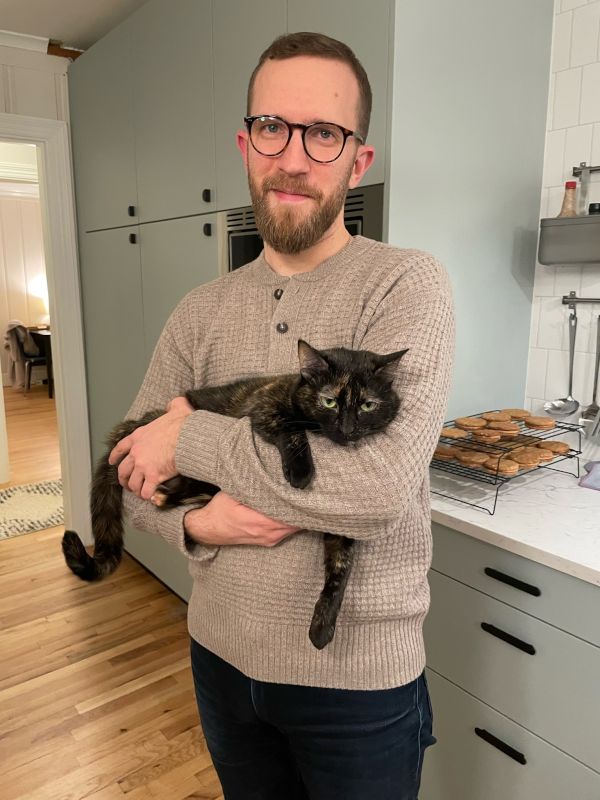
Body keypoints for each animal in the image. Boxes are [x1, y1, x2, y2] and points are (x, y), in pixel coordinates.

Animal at [63, 340, 406, 648]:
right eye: (329, 402)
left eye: (367, 405)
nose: (348, 429)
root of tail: (133, 425)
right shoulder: (264, 405)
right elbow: (292, 430)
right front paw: (300, 472)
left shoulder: (347, 523)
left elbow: (340, 569)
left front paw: (322, 627)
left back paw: (169, 495)